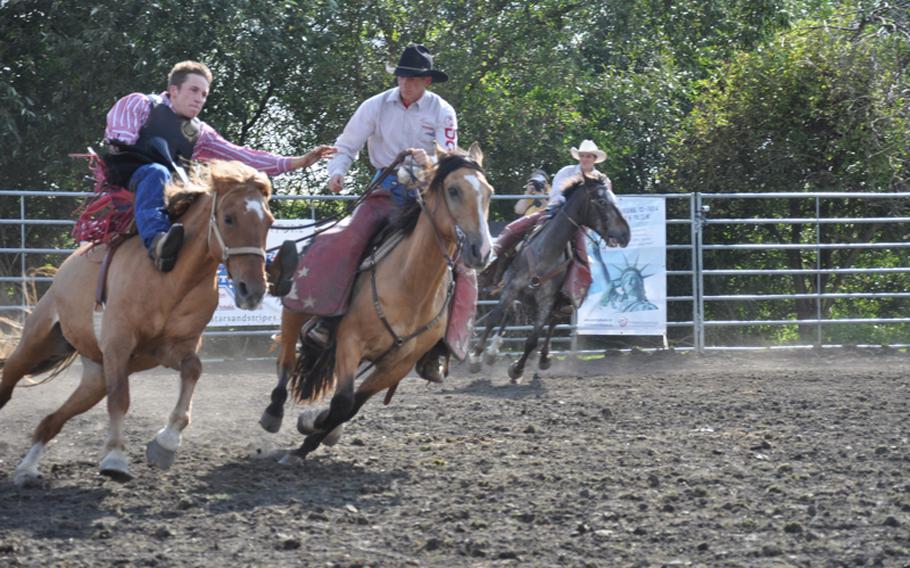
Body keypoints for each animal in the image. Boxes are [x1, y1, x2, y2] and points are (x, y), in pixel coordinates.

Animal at [1, 161, 276, 488]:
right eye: (229, 218)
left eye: (269, 222)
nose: (253, 291)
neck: (170, 278)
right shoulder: (118, 344)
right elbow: (121, 400)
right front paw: (115, 458)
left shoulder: (171, 349)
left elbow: (193, 370)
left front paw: (166, 442)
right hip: (36, 344)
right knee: (9, 382)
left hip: (95, 378)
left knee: (50, 421)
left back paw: (27, 469)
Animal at [470, 175, 628, 384]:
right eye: (602, 202)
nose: (625, 234)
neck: (546, 252)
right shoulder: (512, 287)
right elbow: (493, 319)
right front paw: (476, 358)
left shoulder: (547, 300)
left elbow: (532, 340)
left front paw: (517, 370)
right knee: (509, 313)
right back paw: (491, 353)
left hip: (558, 302)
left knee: (551, 322)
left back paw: (544, 357)